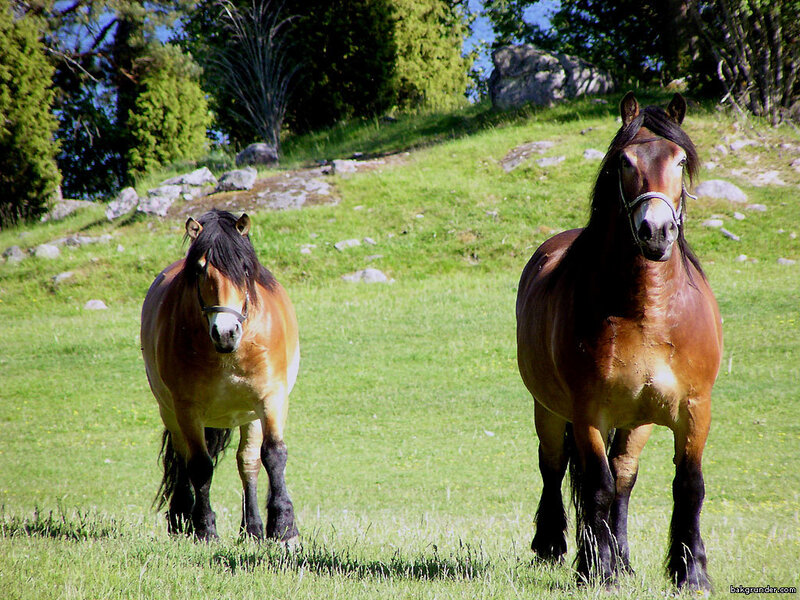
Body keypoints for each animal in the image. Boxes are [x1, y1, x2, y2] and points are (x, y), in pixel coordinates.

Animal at [141, 209, 300, 543]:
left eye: (244, 267)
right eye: (200, 270)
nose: (226, 332)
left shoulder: (271, 398)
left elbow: (273, 455)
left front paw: (283, 528)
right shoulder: (188, 409)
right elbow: (200, 465)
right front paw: (205, 529)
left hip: (249, 415)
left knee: (248, 462)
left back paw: (252, 528)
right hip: (170, 411)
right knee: (182, 458)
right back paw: (181, 519)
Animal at [516, 93, 722, 590]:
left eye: (680, 160)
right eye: (625, 162)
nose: (656, 230)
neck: (647, 314)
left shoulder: (694, 409)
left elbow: (688, 486)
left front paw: (690, 573)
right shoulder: (589, 413)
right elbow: (596, 486)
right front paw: (597, 570)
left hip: (637, 420)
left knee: (625, 479)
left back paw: (624, 558)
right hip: (548, 410)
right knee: (554, 467)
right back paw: (555, 546)